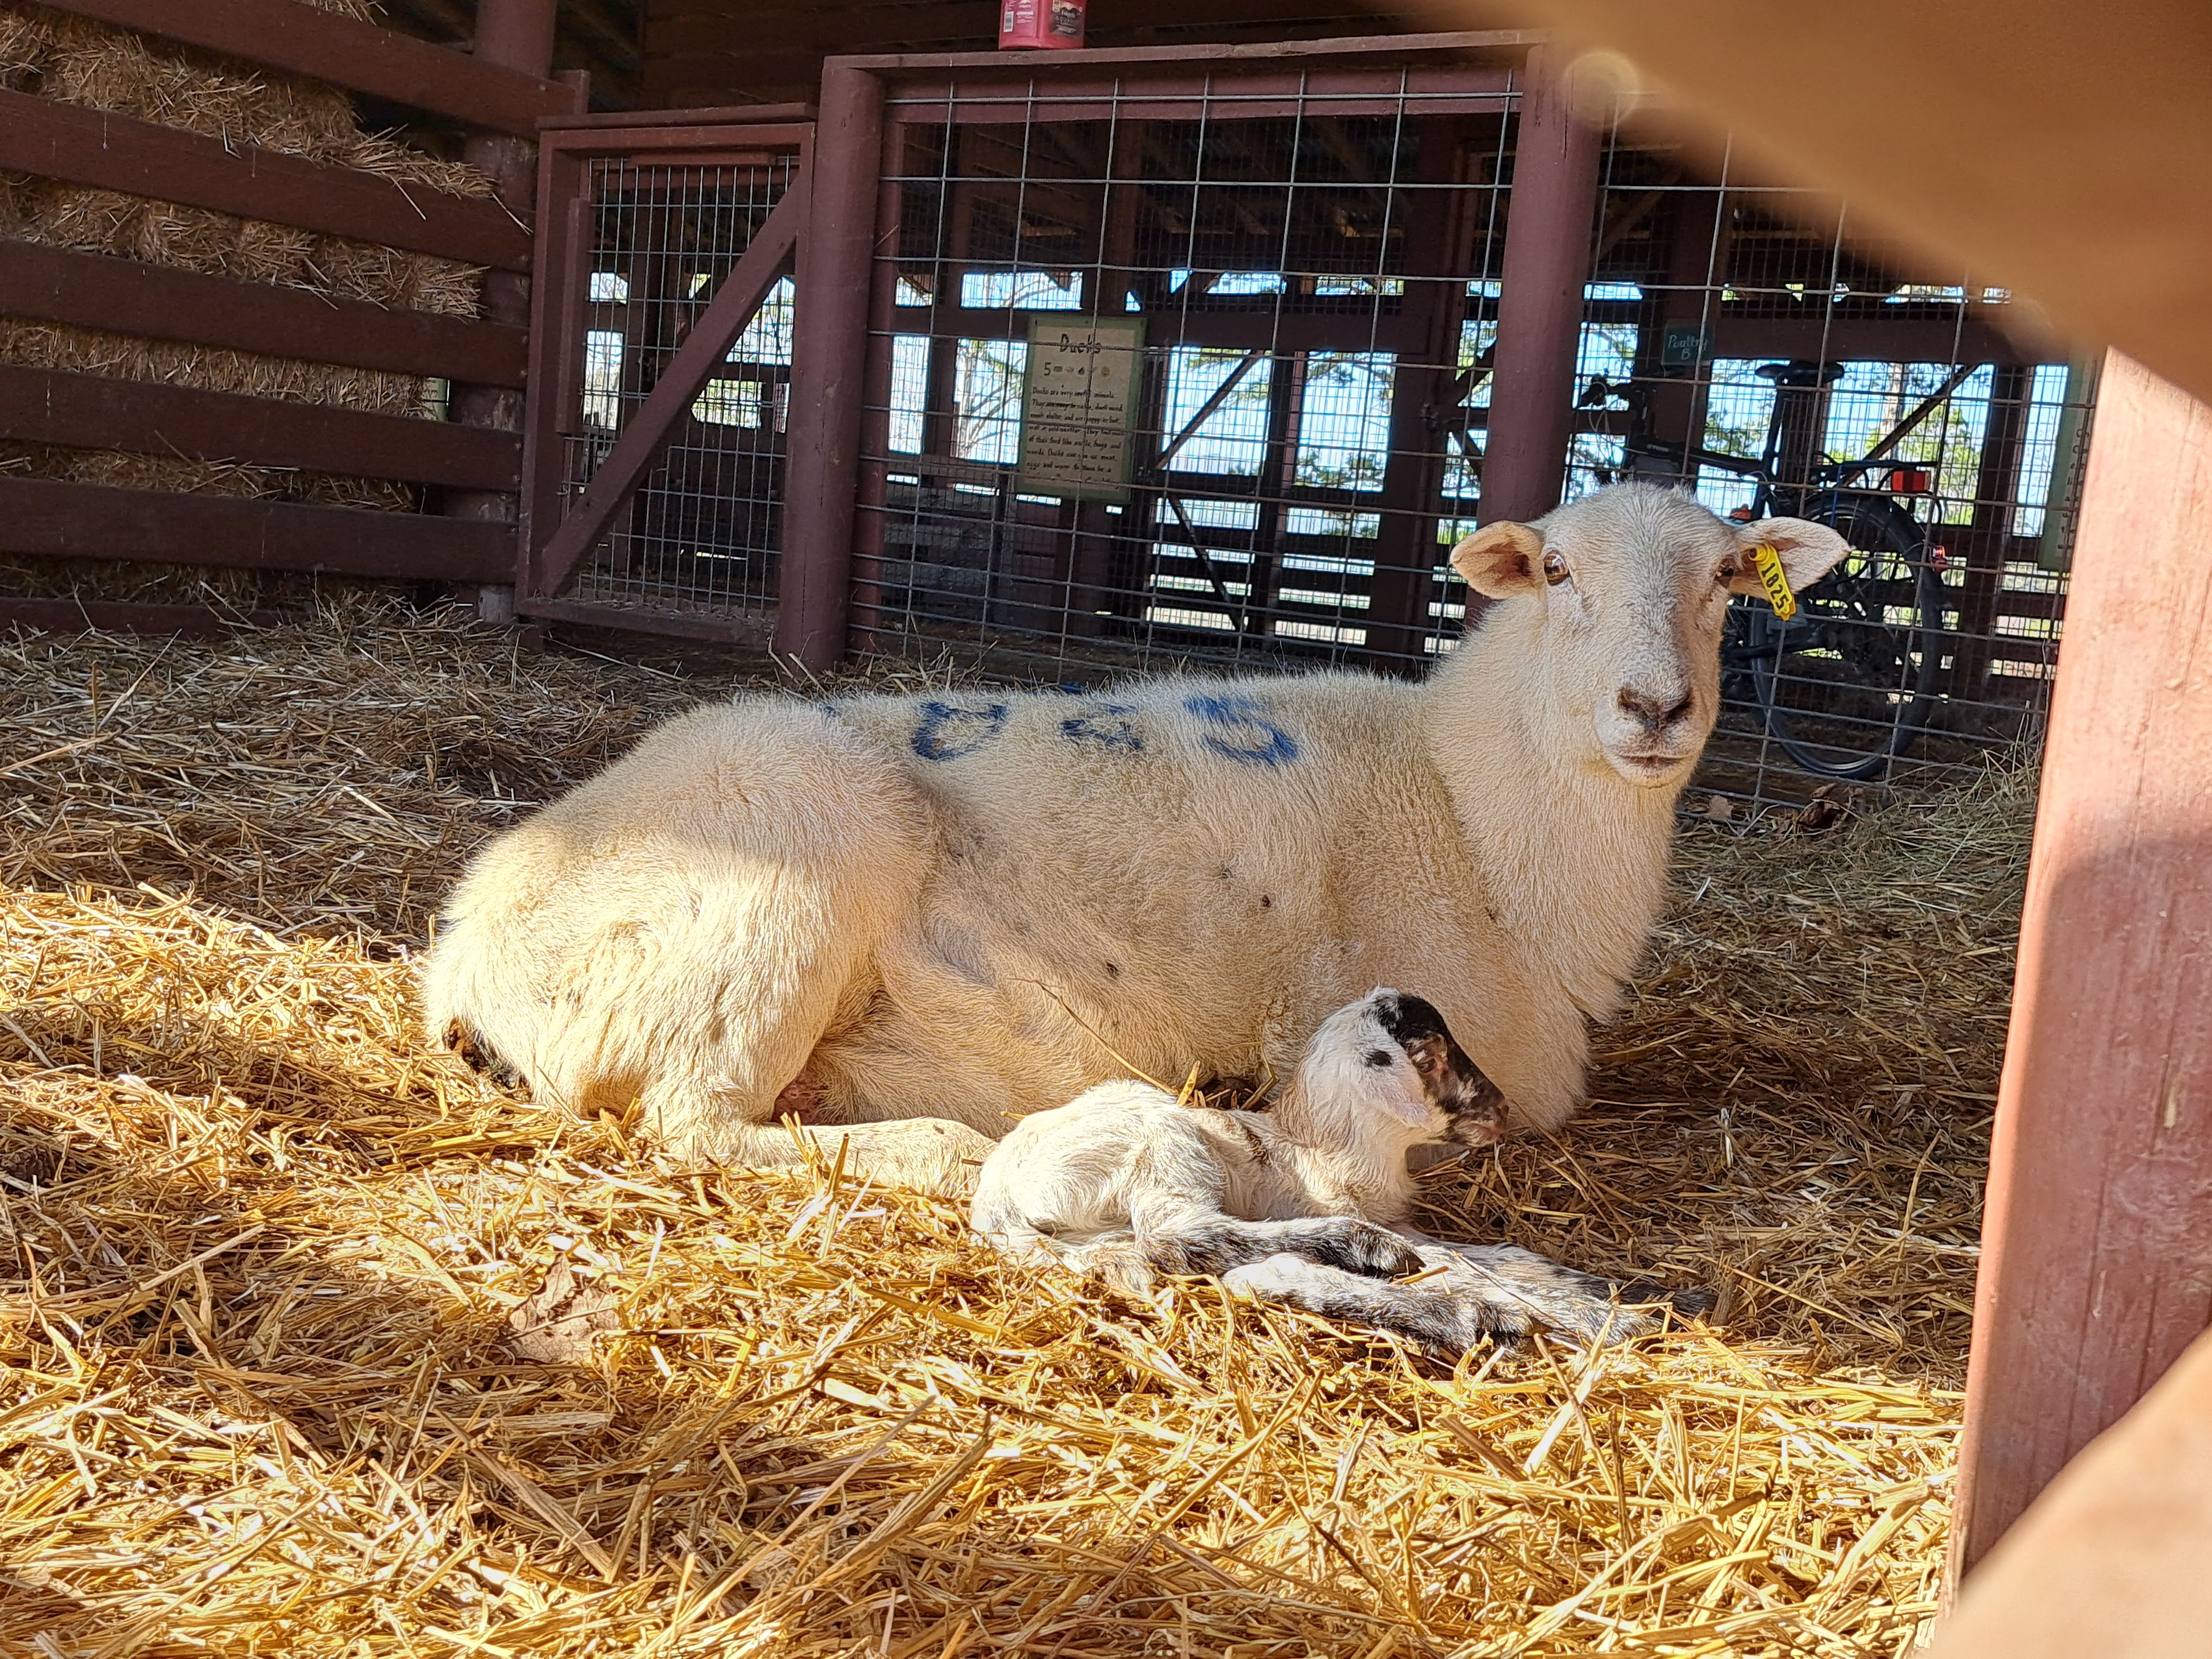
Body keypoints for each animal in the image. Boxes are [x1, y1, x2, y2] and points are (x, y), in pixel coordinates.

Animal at [424, 484, 1850, 1193]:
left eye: (1729, 581)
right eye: (1556, 573)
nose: (1655, 709)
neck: (1466, 803)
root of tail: (464, 939)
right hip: (783, 873)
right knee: (692, 1118)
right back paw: (940, 1152)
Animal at [973, 987, 1713, 1350]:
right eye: (1431, 1054)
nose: (1501, 1111)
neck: (1318, 1150)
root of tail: (997, 1202)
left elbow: (1498, 1253)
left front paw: (1631, 1295)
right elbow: (1461, 1260)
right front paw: (1608, 1317)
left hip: (1102, 1231)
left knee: (1243, 1269)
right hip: (1158, 1140)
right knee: (1186, 1236)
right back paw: (1390, 1269)